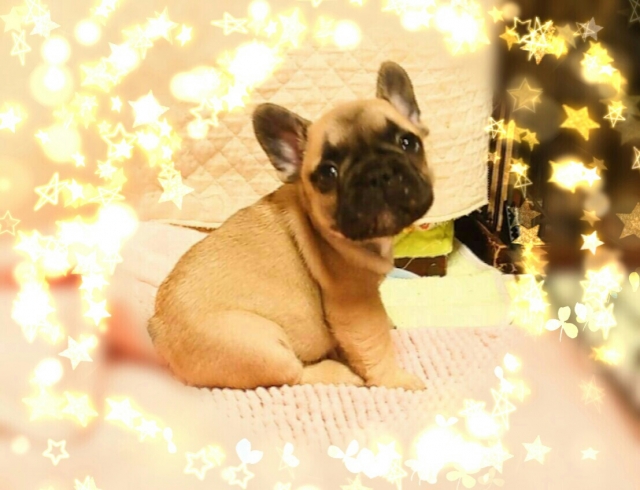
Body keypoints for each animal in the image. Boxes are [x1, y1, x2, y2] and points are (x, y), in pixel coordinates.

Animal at [148, 61, 434, 391]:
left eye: (408, 143)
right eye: (328, 173)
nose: (377, 173)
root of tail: (158, 327)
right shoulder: (355, 304)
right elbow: (375, 345)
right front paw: (397, 381)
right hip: (258, 344)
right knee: (293, 374)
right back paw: (338, 373)